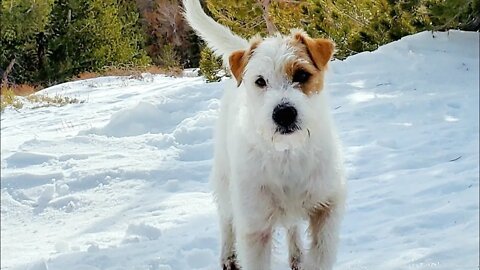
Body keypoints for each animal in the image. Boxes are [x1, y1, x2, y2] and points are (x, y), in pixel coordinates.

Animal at [183, 1, 344, 268]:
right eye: (260, 81)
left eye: (301, 74)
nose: (284, 113)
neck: (287, 153)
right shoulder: (255, 228)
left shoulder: (327, 208)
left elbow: (320, 255)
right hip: (225, 183)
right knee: (226, 220)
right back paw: (228, 257)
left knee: (292, 228)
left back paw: (297, 256)